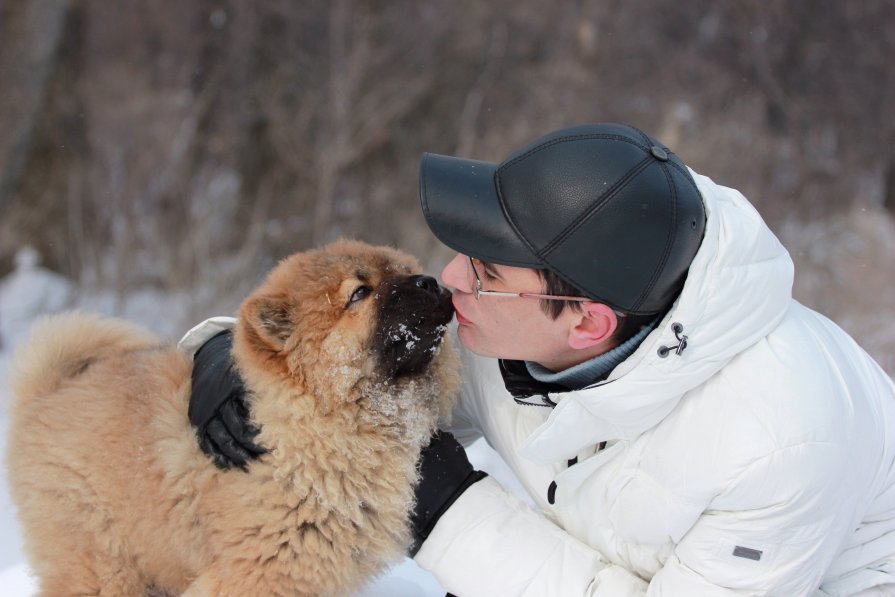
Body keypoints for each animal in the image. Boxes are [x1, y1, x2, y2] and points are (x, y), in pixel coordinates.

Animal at [3, 240, 458, 592]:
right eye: (360, 293)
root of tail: (47, 392)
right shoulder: (259, 573)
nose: (430, 281)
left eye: (404, 271)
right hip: (104, 563)